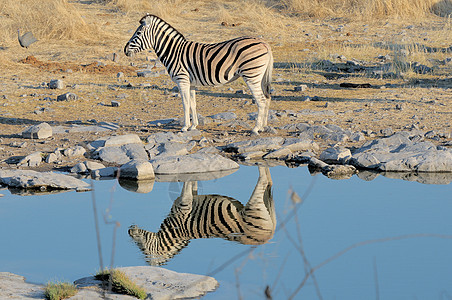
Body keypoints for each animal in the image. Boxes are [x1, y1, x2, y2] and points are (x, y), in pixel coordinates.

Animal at [123, 14, 272, 134]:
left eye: (138, 33)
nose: (125, 50)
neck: (173, 52)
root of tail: (264, 43)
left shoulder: (182, 80)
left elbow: (185, 103)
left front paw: (184, 127)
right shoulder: (191, 83)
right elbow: (193, 104)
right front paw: (194, 125)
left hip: (251, 75)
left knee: (261, 100)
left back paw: (255, 128)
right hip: (260, 76)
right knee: (267, 97)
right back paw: (263, 127)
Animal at [128, 166, 276, 268]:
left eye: (141, 248)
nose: (129, 231)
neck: (173, 231)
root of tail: (269, 235)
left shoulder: (185, 204)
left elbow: (186, 183)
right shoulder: (192, 197)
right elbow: (193, 185)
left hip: (254, 206)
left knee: (264, 181)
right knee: (269, 182)